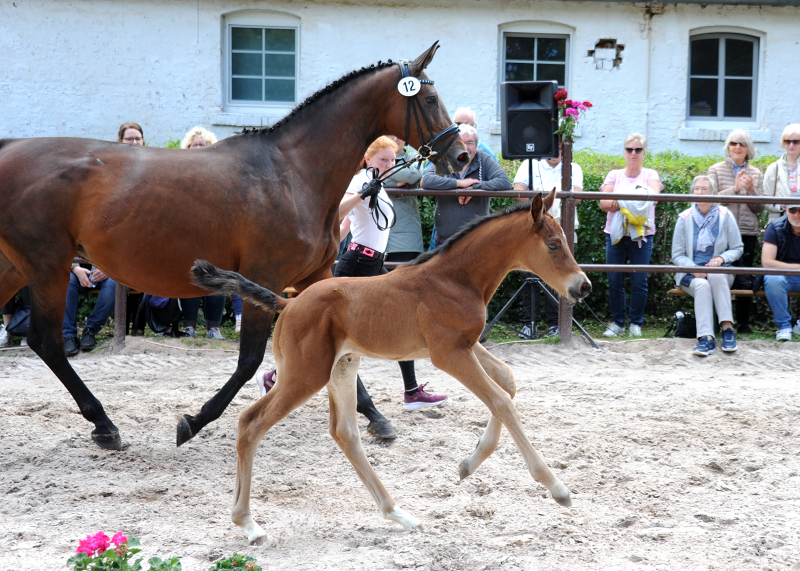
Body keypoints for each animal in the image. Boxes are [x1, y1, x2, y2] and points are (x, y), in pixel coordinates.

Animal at [192, 192, 592, 544]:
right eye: (553, 245)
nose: (584, 286)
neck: (455, 278)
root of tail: (288, 303)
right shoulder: (448, 353)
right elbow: (501, 401)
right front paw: (558, 489)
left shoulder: (467, 345)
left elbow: (507, 382)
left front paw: (468, 464)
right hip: (307, 375)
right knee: (251, 423)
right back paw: (249, 524)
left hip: (342, 368)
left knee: (344, 433)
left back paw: (399, 515)